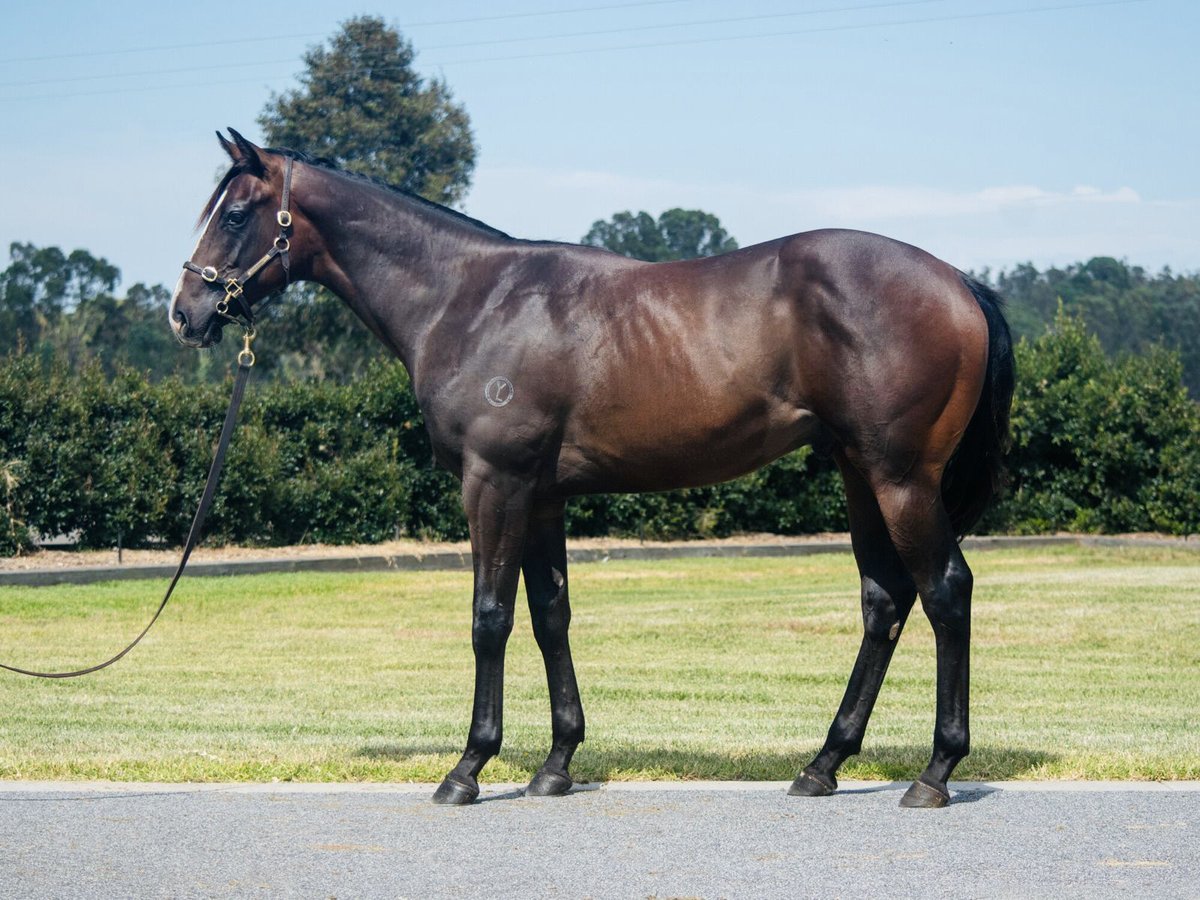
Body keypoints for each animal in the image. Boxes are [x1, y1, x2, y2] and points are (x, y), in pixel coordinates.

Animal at [169, 128, 1012, 811]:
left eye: (235, 214)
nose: (184, 312)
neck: (471, 299)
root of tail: (960, 281)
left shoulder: (494, 484)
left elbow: (490, 617)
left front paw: (468, 768)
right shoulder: (541, 495)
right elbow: (551, 616)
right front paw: (556, 764)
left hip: (900, 476)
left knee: (945, 591)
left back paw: (935, 773)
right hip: (857, 473)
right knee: (885, 600)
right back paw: (823, 763)